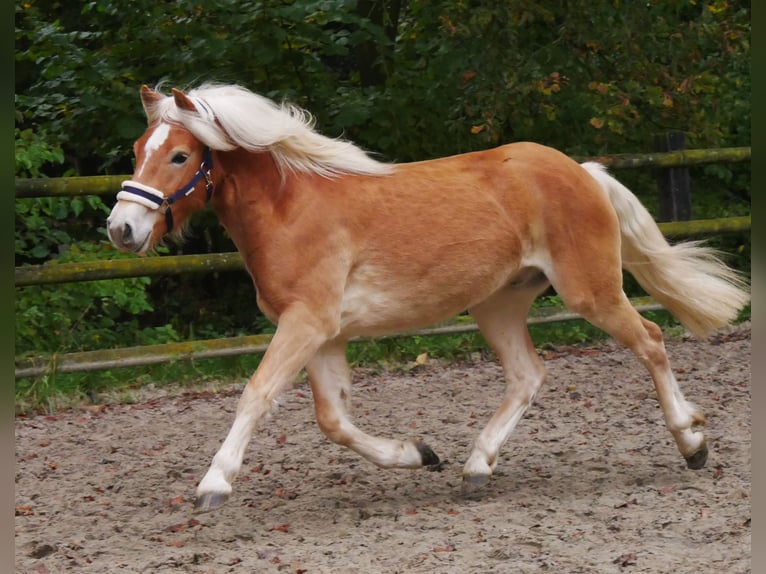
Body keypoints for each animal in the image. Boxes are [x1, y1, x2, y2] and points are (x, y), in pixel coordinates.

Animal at [106, 84, 752, 512]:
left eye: (180, 155)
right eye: (137, 148)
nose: (122, 229)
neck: (291, 207)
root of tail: (584, 170)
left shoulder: (306, 324)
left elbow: (257, 395)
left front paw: (214, 484)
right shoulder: (322, 334)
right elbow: (333, 420)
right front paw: (419, 454)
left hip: (590, 291)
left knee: (652, 341)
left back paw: (692, 443)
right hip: (497, 304)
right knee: (528, 375)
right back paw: (475, 468)